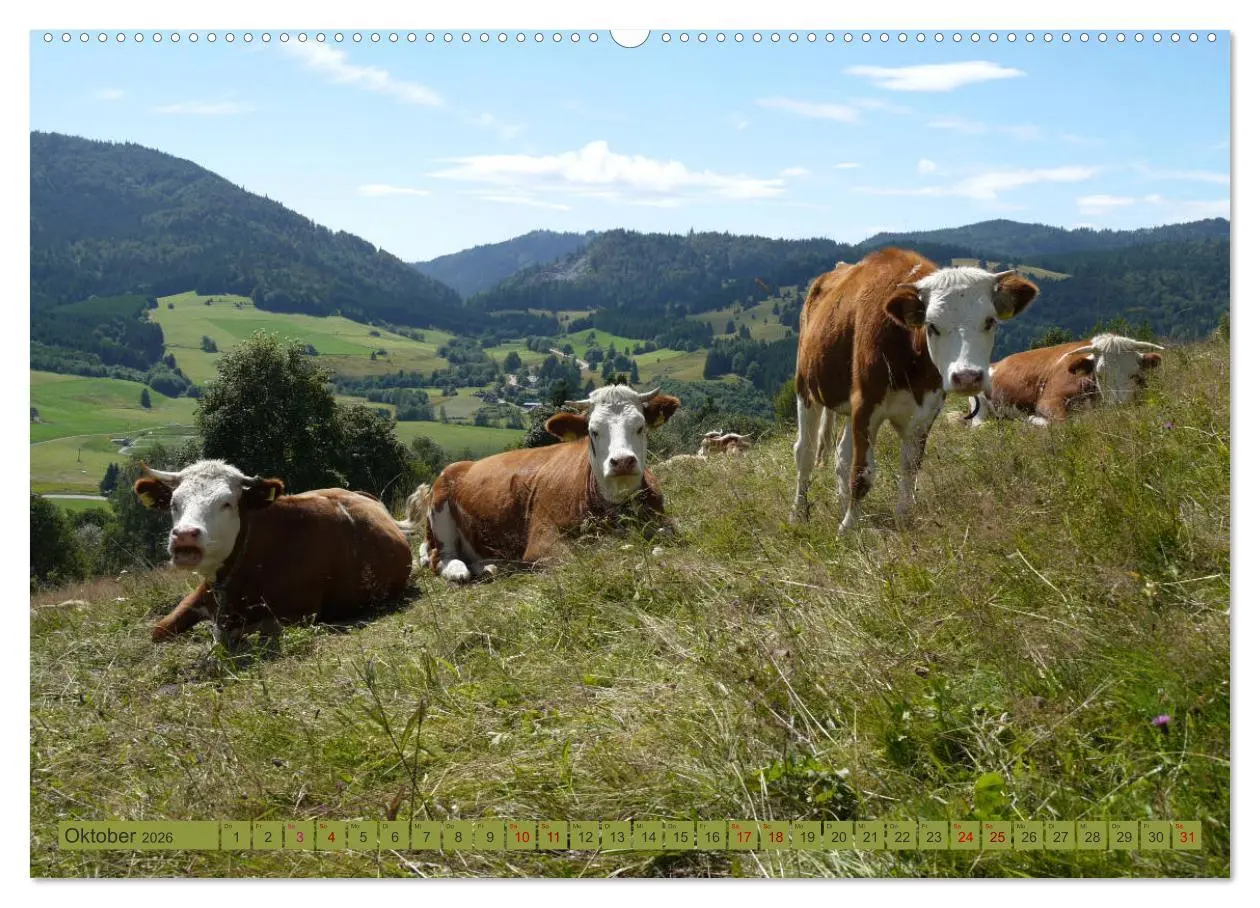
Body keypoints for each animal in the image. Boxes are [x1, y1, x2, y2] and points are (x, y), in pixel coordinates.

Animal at [133, 459, 413, 644]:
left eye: (227, 503)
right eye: (174, 503)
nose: (184, 535)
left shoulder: (300, 613)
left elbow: (235, 632)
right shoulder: (204, 593)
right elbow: (158, 630)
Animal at [418, 384, 681, 582]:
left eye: (640, 426)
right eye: (593, 431)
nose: (623, 461)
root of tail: (462, 465)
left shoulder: (663, 519)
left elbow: (667, 537)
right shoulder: (542, 540)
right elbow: (569, 559)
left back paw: (488, 567)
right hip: (439, 506)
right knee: (440, 555)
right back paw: (460, 570)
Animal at [792, 248, 1039, 532]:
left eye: (990, 321)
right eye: (932, 325)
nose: (967, 377)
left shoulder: (925, 410)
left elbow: (910, 465)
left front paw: (903, 517)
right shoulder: (865, 403)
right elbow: (862, 472)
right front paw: (847, 528)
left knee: (842, 455)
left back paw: (844, 504)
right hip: (806, 389)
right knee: (805, 452)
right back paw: (798, 514)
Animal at [965, 333, 1165, 427]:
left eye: (1134, 374)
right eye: (1100, 374)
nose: (1118, 407)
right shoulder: (1048, 400)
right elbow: (1063, 423)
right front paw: (1033, 420)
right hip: (978, 405)